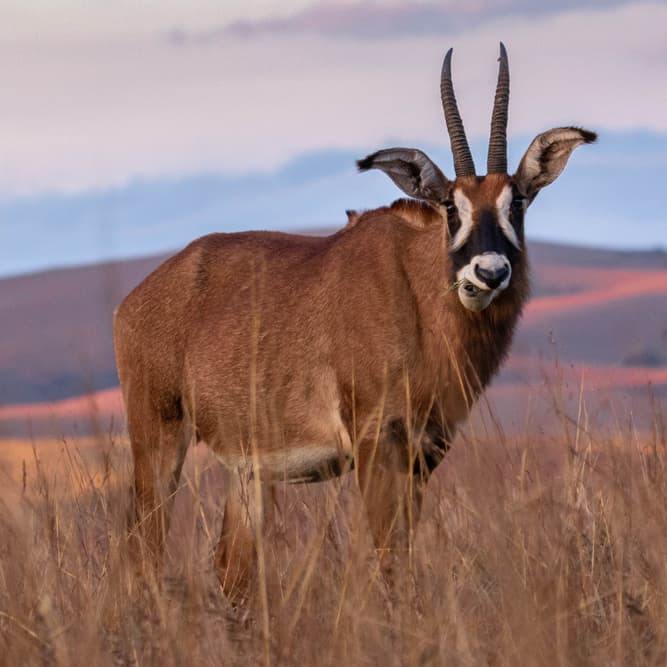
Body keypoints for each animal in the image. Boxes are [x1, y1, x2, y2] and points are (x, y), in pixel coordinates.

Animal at [112, 44, 596, 604]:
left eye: (516, 202)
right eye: (450, 207)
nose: (489, 272)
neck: (415, 291)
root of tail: (136, 300)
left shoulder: (424, 451)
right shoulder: (374, 442)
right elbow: (389, 561)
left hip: (246, 471)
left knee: (231, 570)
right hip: (158, 437)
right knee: (143, 552)